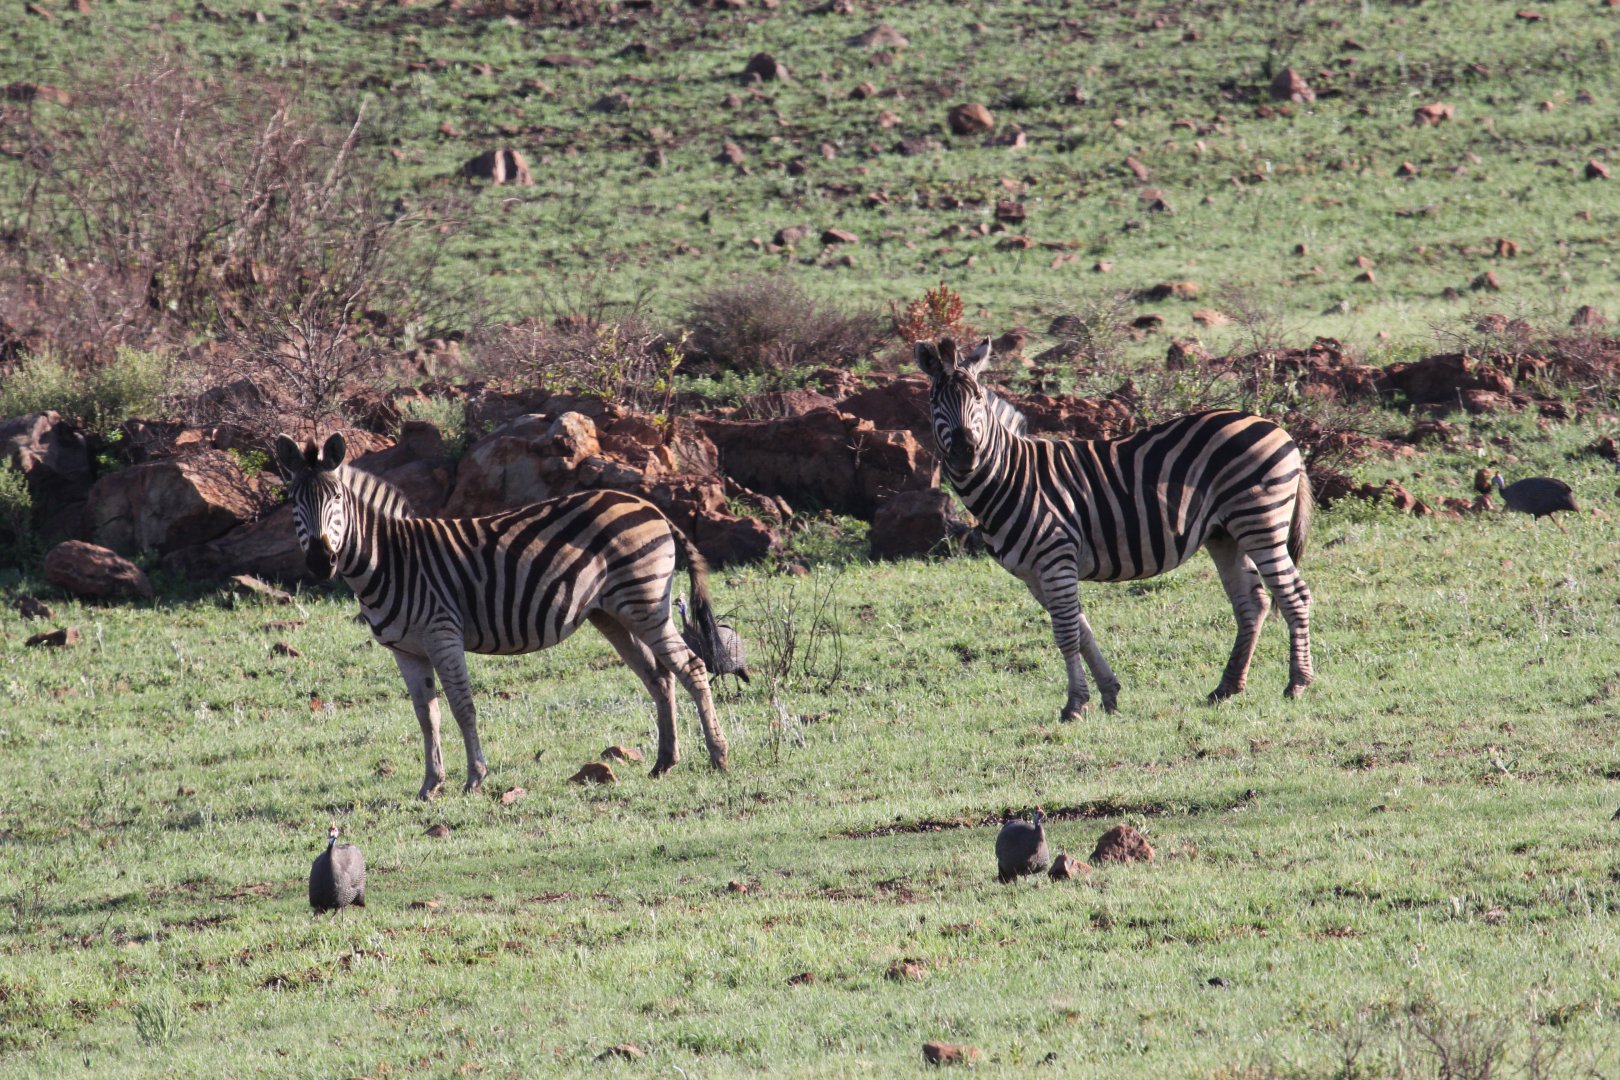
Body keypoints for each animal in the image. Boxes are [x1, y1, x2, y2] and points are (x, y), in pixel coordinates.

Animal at [272, 432, 729, 798]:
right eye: (293, 502)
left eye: (335, 500)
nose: (321, 561)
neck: (388, 559)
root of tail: (649, 506)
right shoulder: (406, 650)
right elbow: (426, 716)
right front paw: (430, 785)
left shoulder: (442, 634)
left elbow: (462, 706)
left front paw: (475, 778)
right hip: (613, 614)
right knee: (659, 676)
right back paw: (664, 762)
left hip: (645, 602)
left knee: (691, 666)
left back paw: (718, 757)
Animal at [916, 336, 1314, 716]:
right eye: (935, 401)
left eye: (978, 397)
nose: (965, 452)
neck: (1010, 476)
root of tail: (1279, 430)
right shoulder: (1034, 573)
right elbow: (1081, 629)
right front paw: (1108, 694)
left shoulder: (1056, 558)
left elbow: (1066, 633)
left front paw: (1074, 705)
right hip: (1225, 534)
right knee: (1252, 602)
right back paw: (1227, 687)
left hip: (1260, 522)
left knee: (1293, 595)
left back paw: (1297, 683)